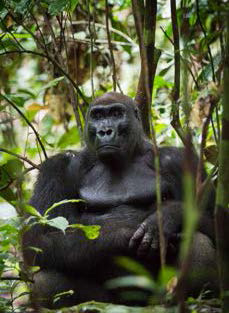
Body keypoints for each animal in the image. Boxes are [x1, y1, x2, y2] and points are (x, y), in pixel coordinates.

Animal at [21, 92, 218, 308]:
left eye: (116, 113)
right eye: (97, 116)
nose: (105, 131)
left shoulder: (180, 161)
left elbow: (215, 223)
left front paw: (167, 216)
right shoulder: (58, 167)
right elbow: (39, 237)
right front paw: (123, 234)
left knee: (199, 241)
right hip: (108, 302)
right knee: (45, 280)